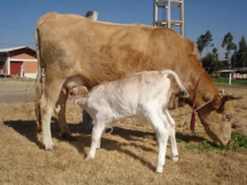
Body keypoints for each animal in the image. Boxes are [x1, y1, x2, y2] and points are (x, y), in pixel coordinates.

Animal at [35, 13, 233, 150]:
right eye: (228, 117)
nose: (227, 142)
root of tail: (51, 16)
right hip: (54, 75)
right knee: (46, 106)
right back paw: (48, 143)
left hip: (65, 82)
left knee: (59, 107)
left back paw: (66, 133)